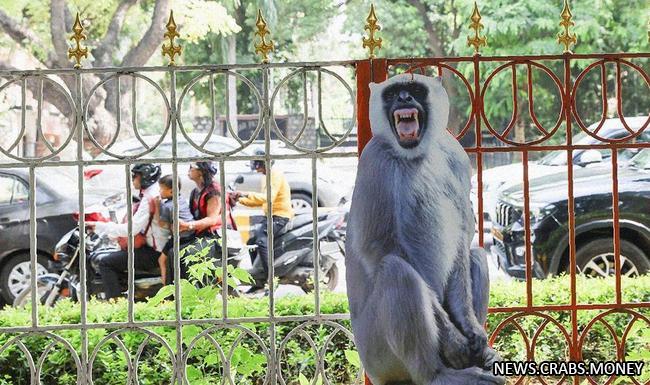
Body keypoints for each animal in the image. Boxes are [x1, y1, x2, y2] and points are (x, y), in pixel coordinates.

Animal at [344, 73, 502, 384]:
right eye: (394, 93)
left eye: (415, 90)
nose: (404, 98)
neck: (414, 155)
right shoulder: (374, 159)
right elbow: (377, 247)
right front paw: (453, 339)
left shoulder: (455, 154)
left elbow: (463, 235)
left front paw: (470, 328)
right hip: (376, 353)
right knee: (396, 270)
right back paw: (437, 374)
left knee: (476, 255)